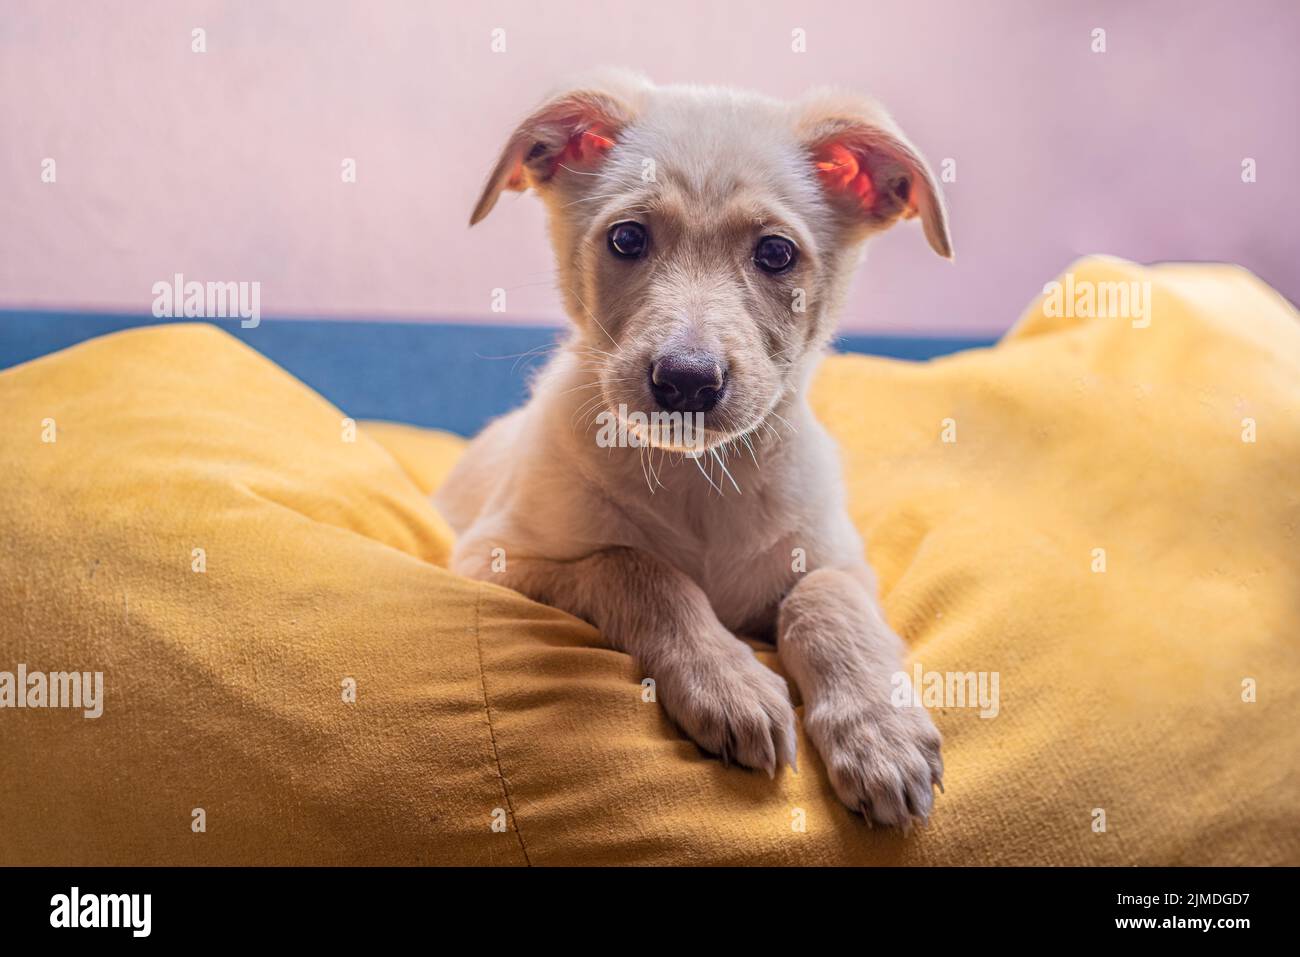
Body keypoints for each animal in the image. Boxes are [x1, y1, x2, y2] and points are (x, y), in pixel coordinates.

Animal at [441, 70, 951, 826]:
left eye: (776, 253)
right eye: (627, 238)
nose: (686, 380)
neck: (700, 480)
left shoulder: (845, 561)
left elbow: (822, 598)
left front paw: (879, 732)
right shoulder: (492, 560)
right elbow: (637, 568)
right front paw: (728, 681)